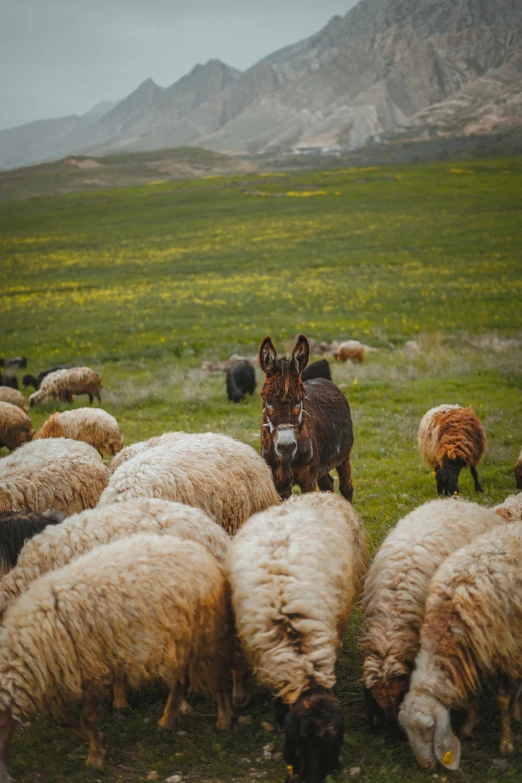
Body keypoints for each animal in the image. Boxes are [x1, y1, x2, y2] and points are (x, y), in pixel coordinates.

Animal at [0, 532, 232, 776]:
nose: (5, 773)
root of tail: (196, 549)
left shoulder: (90, 668)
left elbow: (88, 717)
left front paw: (95, 755)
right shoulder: (60, 676)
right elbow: (63, 719)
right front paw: (95, 740)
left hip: (205, 633)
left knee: (217, 678)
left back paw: (223, 720)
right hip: (177, 639)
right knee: (179, 681)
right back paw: (168, 719)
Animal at [396, 524, 520, 768]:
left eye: (429, 727)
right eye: (405, 731)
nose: (425, 766)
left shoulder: (504, 648)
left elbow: (502, 698)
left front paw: (506, 743)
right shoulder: (474, 652)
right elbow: (472, 691)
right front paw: (470, 726)